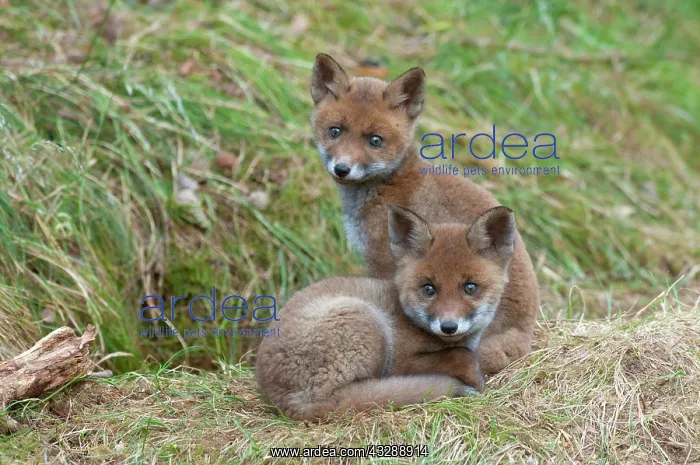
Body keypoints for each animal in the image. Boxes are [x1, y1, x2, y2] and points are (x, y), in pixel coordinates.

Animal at [256, 205, 517, 421]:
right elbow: (461, 355)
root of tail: (283, 402)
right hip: (366, 323)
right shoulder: (401, 362)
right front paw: (476, 378)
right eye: (429, 289)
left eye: (470, 287)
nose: (448, 326)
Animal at [309, 53, 540, 375]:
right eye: (335, 131)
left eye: (375, 140)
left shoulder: (387, 266)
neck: (390, 186)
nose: (342, 169)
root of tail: (525, 336)